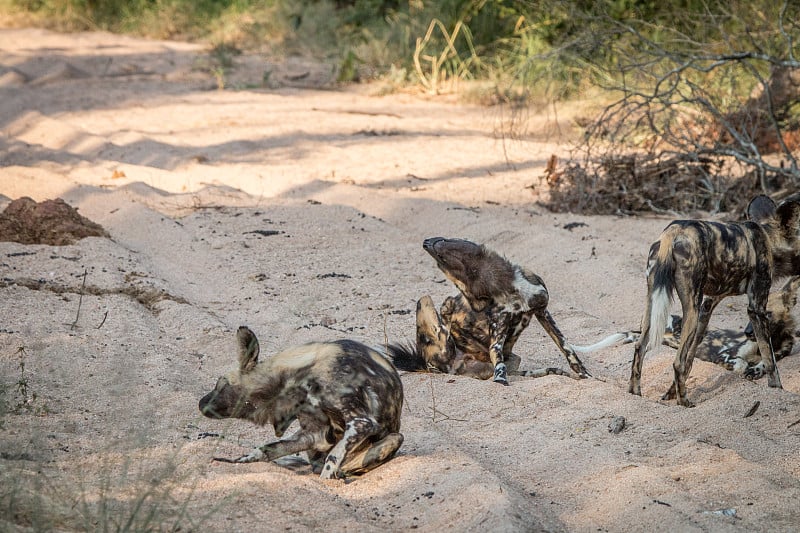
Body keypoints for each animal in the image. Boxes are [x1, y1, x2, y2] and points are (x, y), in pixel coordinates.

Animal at [197, 324, 404, 478]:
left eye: (221, 383)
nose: (200, 403)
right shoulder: (313, 434)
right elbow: (266, 449)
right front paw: (238, 462)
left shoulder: (362, 422)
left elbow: (332, 460)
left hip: (394, 438)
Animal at [396, 236, 628, 382]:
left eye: (442, 248)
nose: (426, 242)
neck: (511, 291)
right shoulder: (496, 336)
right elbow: (498, 359)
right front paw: (501, 381)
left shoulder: (542, 311)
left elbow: (568, 350)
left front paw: (587, 377)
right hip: (428, 307)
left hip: (516, 362)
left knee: (548, 370)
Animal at [664, 276, 800, 376]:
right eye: (750, 313)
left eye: (767, 314)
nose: (747, 332)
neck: (774, 340)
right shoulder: (723, 356)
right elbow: (742, 364)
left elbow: (764, 364)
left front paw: (755, 369)